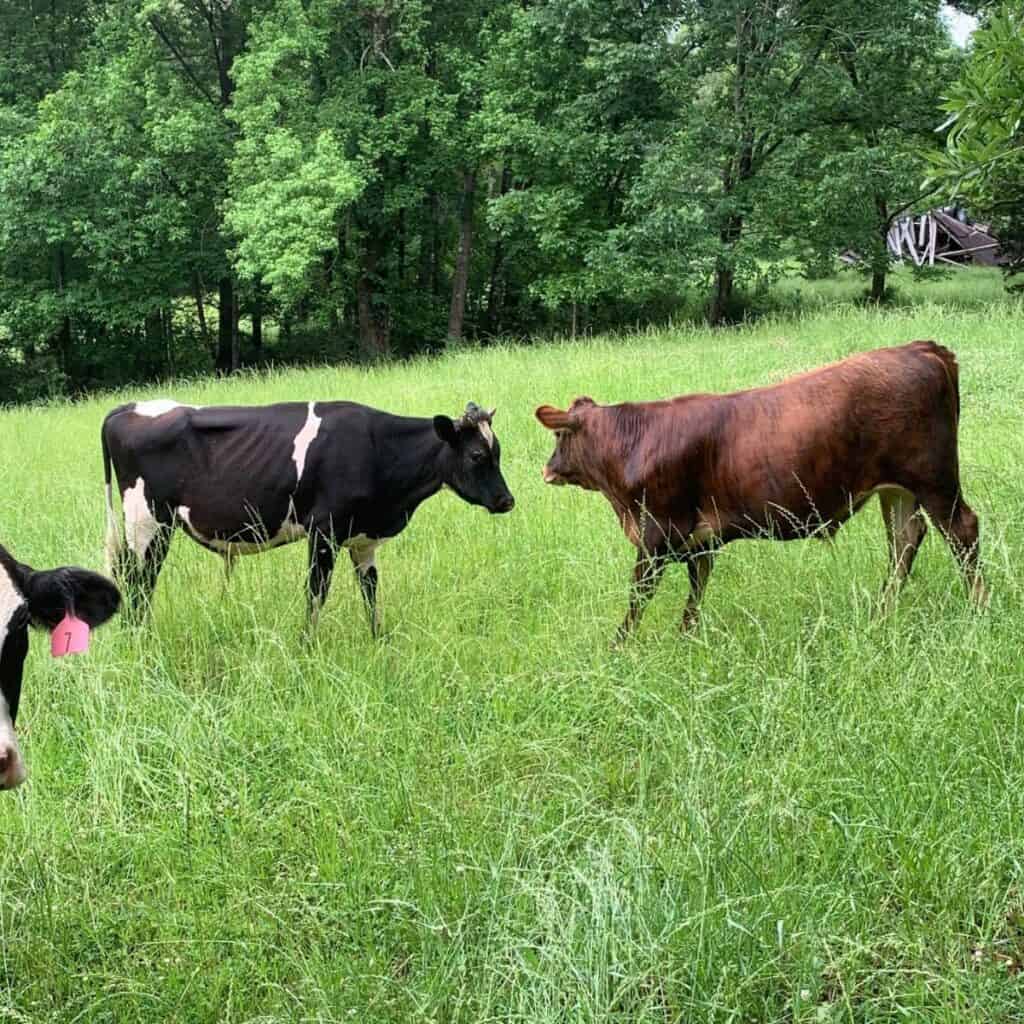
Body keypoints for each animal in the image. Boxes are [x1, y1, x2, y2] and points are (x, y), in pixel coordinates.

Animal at [103, 399, 516, 630]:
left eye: (497, 452)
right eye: (477, 455)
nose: (507, 500)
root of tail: (126, 408)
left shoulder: (363, 539)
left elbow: (370, 593)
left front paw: (378, 641)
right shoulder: (324, 530)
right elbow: (316, 593)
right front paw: (308, 647)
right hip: (147, 521)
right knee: (140, 584)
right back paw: (142, 641)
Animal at [540, 339, 987, 634]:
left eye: (559, 437)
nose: (547, 470)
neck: (633, 442)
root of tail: (920, 348)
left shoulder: (656, 535)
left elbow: (638, 597)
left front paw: (621, 646)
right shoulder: (701, 541)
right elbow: (695, 594)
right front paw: (686, 638)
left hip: (934, 479)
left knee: (961, 530)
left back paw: (977, 608)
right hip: (897, 489)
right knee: (905, 538)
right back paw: (881, 613)